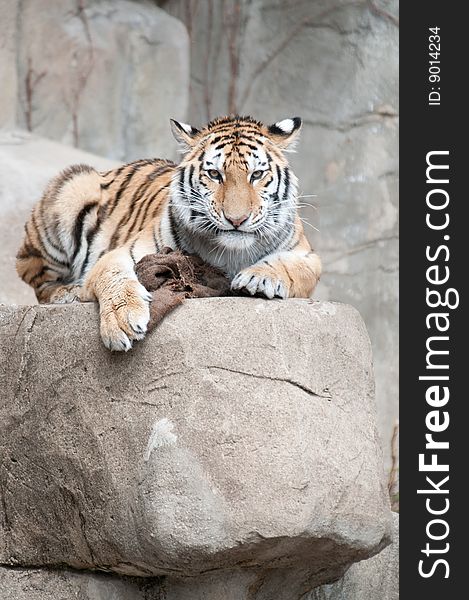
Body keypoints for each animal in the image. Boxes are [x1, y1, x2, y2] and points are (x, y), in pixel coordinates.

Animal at [15, 116, 322, 352]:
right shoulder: (120, 254)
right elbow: (114, 278)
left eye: (257, 175)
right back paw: (69, 292)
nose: (237, 219)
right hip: (73, 188)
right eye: (214, 174)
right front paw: (123, 320)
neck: (229, 251)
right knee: (37, 281)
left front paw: (258, 278)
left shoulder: (308, 256)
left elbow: (290, 267)